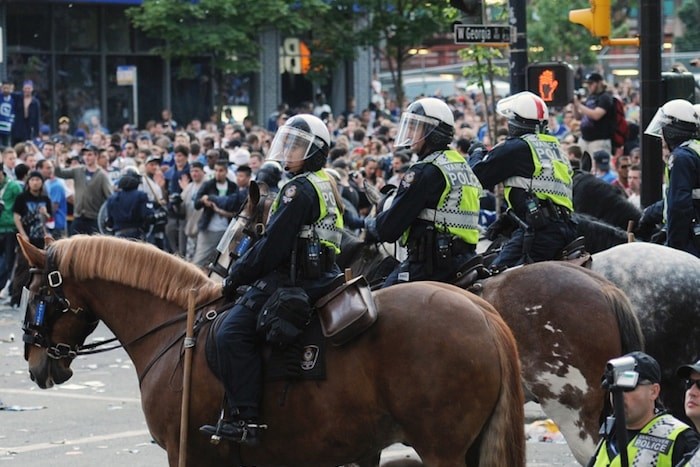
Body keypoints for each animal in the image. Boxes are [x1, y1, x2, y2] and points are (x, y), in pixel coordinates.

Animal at [17, 236, 524, 467]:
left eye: (38, 293)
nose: (36, 365)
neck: (174, 332)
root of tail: (482, 312)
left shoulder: (187, 453)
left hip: (441, 450)